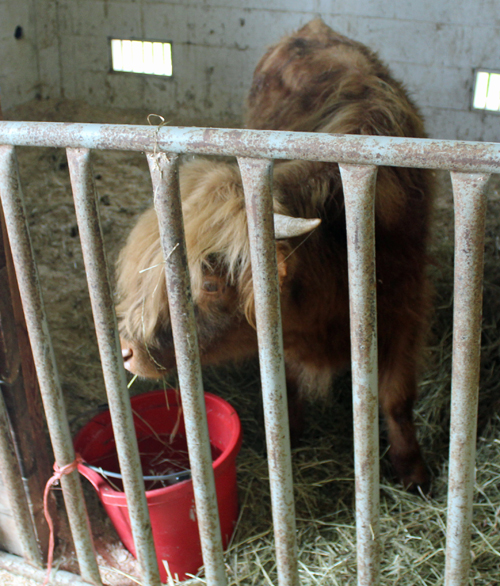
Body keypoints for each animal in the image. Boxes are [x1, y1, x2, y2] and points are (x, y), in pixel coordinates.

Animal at [117, 19, 434, 488]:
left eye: (210, 283)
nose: (126, 349)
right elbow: (285, 383)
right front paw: (288, 436)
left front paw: (413, 471)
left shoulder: (405, 311)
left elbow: (396, 399)